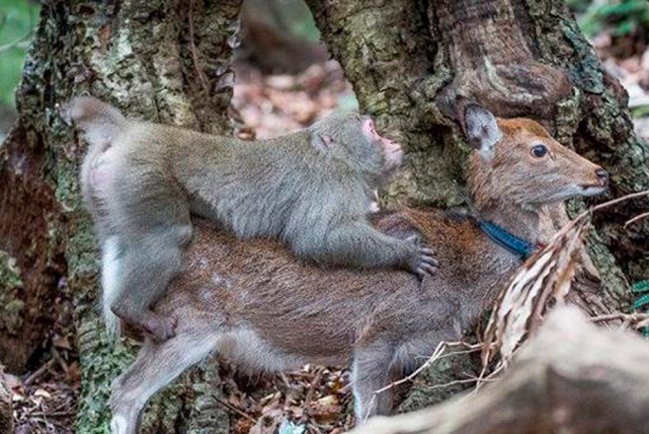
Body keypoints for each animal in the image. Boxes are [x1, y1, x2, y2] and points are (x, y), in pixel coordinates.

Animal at [106, 106, 608, 434]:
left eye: (551, 136)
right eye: (539, 150)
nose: (599, 172)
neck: (459, 277)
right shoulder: (377, 333)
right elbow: (367, 418)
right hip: (187, 321)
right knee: (124, 391)